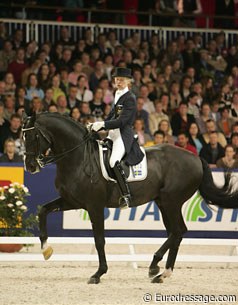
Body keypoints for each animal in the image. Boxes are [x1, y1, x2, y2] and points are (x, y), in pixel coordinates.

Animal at [22, 113, 238, 284]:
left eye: (32, 136)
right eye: (22, 137)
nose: (30, 166)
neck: (78, 157)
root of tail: (196, 158)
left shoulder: (94, 206)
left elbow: (99, 240)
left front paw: (98, 274)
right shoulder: (72, 202)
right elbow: (43, 210)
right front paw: (46, 250)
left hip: (171, 201)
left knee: (177, 231)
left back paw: (155, 266)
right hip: (163, 203)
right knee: (176, 233)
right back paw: (161, 273)